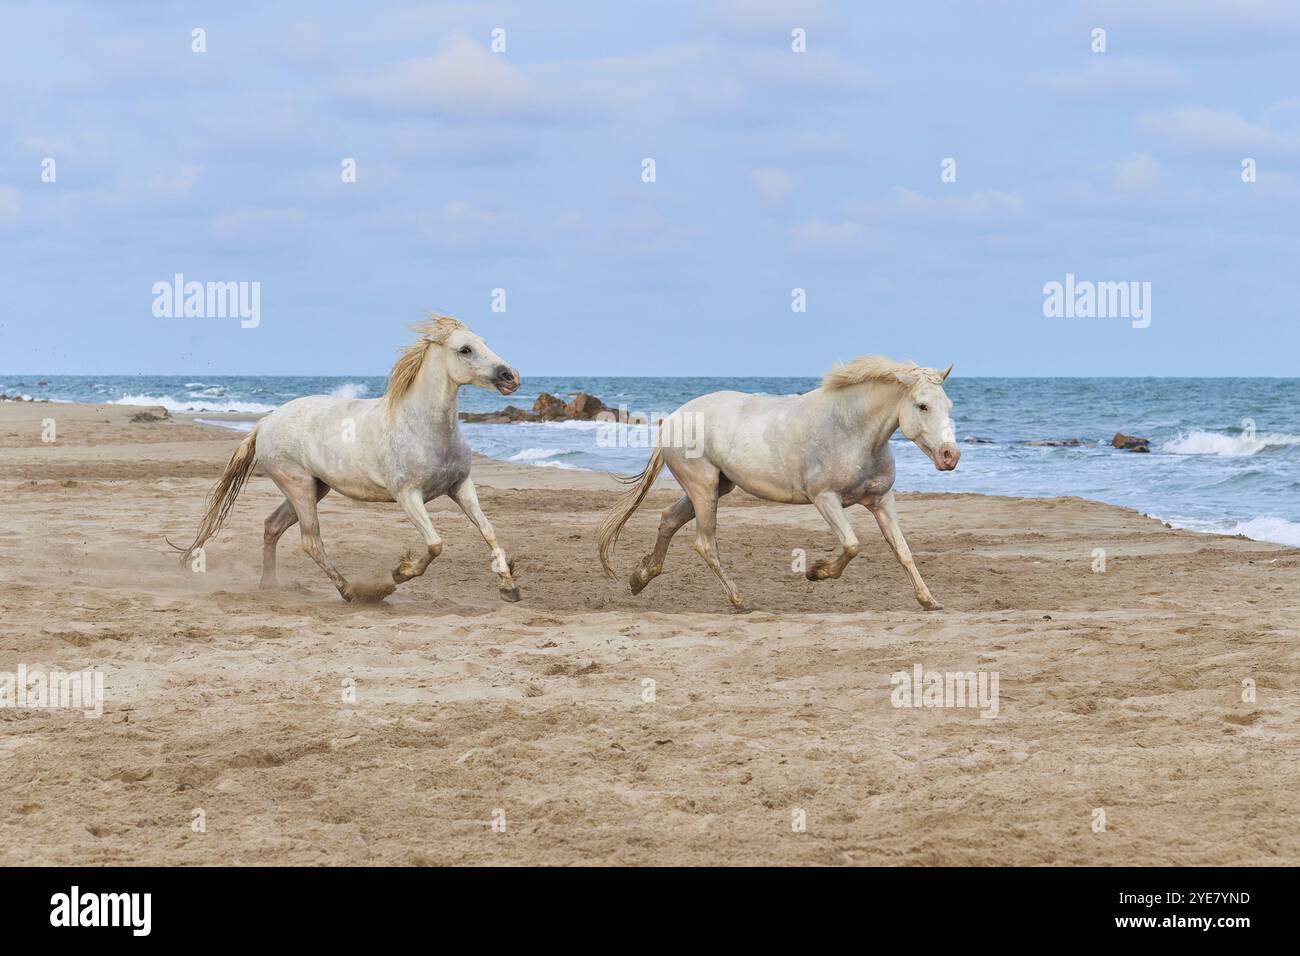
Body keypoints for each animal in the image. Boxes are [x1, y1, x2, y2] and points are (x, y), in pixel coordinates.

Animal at [175, 316, 525, 606]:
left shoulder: (460, 486)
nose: (511, 377)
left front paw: (509, 588)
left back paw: (269, 585)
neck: (423, 425)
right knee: (311, 541)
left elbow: (488, 531)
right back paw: (353, 592)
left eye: (484, 342)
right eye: (465, 349)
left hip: (315, 488)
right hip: (298, 485)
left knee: (272, 526)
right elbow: (435, 544)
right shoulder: (408, 496)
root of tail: (266, 421)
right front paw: (399, 573)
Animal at [595, 356, 956, 613]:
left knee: (668, 520)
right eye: (922, 405)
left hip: (716, 487)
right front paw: (816, 572)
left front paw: (928, 600)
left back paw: (640, 578)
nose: (950, 456)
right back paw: (739, 600)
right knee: (705, 543)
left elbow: (903, 551)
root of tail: (672, 418)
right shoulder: (825, 499)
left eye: (949, 406)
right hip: (703, 488)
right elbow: (852, 545)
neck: (851, 430)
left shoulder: (881, 500)